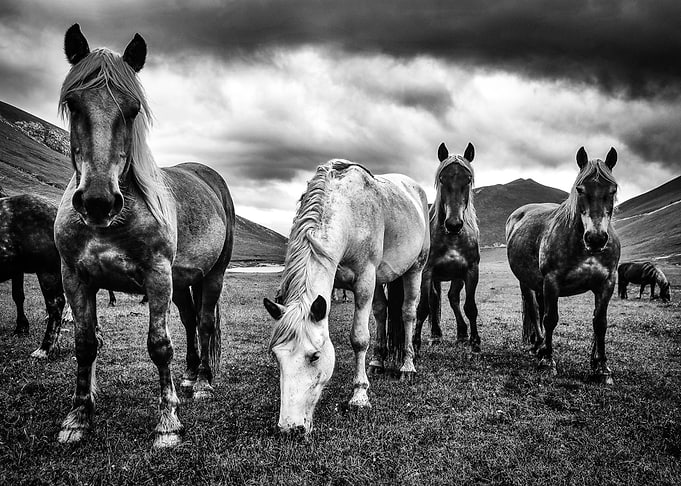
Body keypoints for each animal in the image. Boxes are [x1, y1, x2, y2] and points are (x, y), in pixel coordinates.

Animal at [0, 194, 66, 358]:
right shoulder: (17, 270)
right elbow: (18, 295)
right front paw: (21, 327)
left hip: (47, 270)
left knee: (56, 304)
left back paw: (45, 348)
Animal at [54, 24, 235, 448]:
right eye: (73, 103)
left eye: (133, 109)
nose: (98, 201)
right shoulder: (75, 278)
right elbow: (85, 344)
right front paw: (77, 418)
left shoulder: (156, 277)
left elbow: (159, 346)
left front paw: (167, 423)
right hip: (183, 281)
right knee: (189, 321)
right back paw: (189, 376)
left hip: (212, 276)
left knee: (204, 322)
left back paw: (203, 383)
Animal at [263, 160, 429, 434]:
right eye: (276, 357)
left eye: (315, 356)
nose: (290, 427)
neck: (347, 212)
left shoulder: (364, 281)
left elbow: (359, 339)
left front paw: (359, 396)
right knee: (381, 312)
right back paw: (378, 361)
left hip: (415, 268)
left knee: (408, 313)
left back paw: (407, 366)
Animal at [412, 142, 481, 353]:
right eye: (442, 179)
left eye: (468, 179)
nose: (454, 224)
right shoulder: (427, 272)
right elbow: (423, 308)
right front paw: (415, 343)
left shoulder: (471, 271)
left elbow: (470, 307)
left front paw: (475, 341)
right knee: (434, 300)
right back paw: (435, 334)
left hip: (456, 276)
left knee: (452, 298)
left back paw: (461, 333)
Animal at [506, 147, 620, 384]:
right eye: (580, 189)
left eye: (612, 190)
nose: (596, 239)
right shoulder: (552, 281)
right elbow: (550, 319)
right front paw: (548, 361)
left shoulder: (607, 282)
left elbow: (600, 323)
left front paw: (601, 367)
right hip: (526, 282)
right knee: (535, 311)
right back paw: (539, 346)